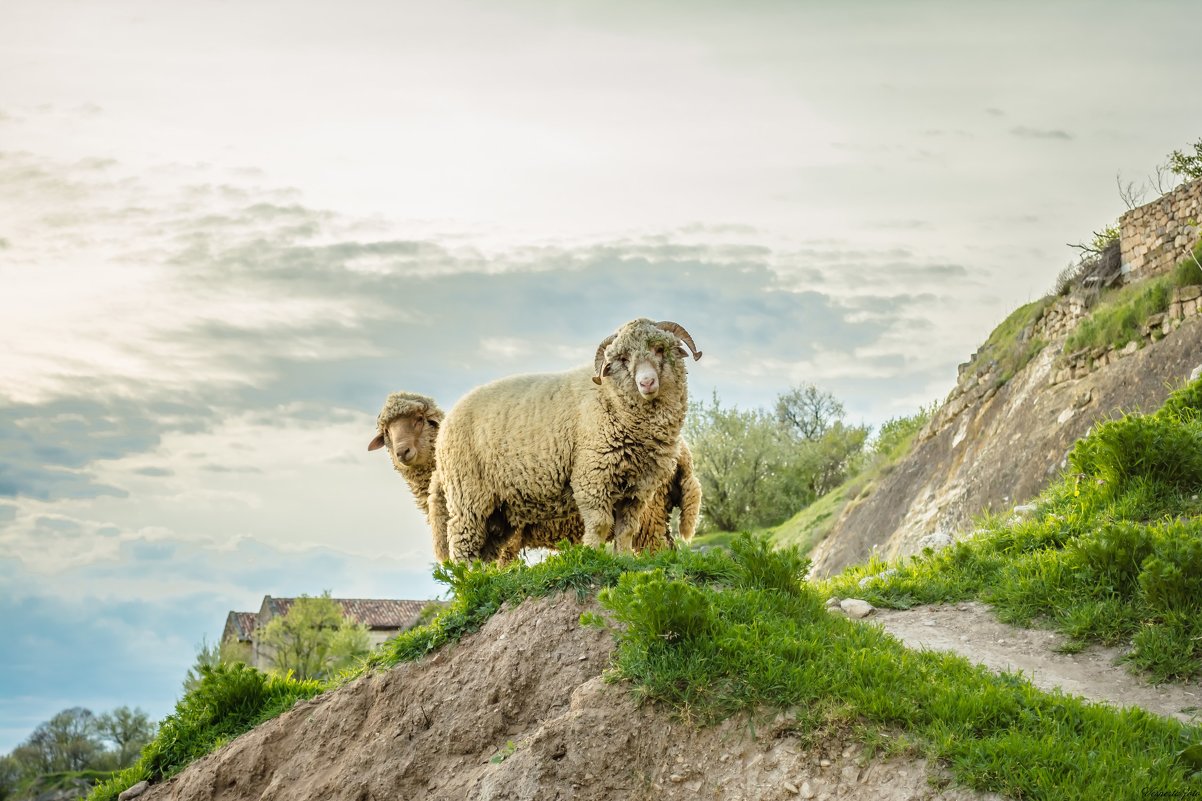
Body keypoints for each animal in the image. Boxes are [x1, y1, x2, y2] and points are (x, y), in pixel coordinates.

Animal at [430, 315, 701, 558]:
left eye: (660, 349)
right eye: (623, 359)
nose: (646, 383)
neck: (610, 398)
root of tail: (446, 425)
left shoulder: (637, 489)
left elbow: (626, 530)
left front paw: (623, 560)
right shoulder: (592, 477)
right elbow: (600, 524)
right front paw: (592, 557)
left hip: (500, 509)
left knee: (487, 550)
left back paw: (485, 578)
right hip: (468, 496)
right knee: (463, 544)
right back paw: (467, 578)